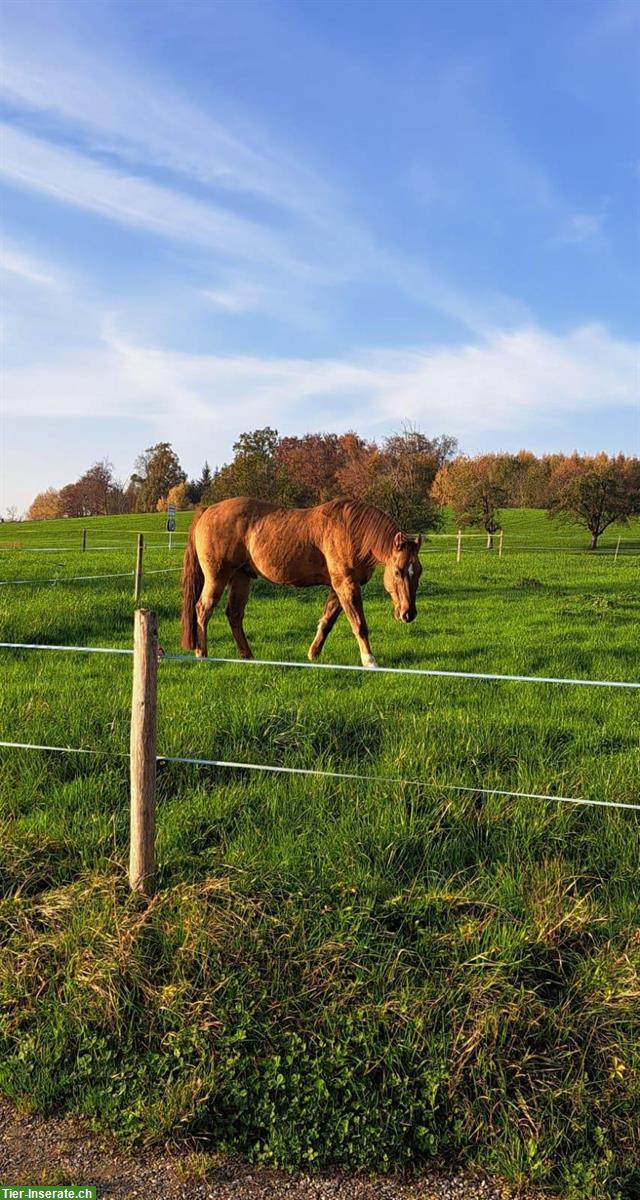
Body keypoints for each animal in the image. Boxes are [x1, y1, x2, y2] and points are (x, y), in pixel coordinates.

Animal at [180, 494, 422, 667]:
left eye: (419, 571)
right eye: (398, 571)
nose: (408, 614)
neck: (350, 531)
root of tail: (208, 510)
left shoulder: (338, 587)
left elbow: (327, 622)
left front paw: (313, 654)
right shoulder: (346, 585)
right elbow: (359, 624)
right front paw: (370, 661)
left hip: (241, 578)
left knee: (234, 614)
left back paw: (247, 656)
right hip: (217, 578)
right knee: (203, 609)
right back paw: (202, 654)